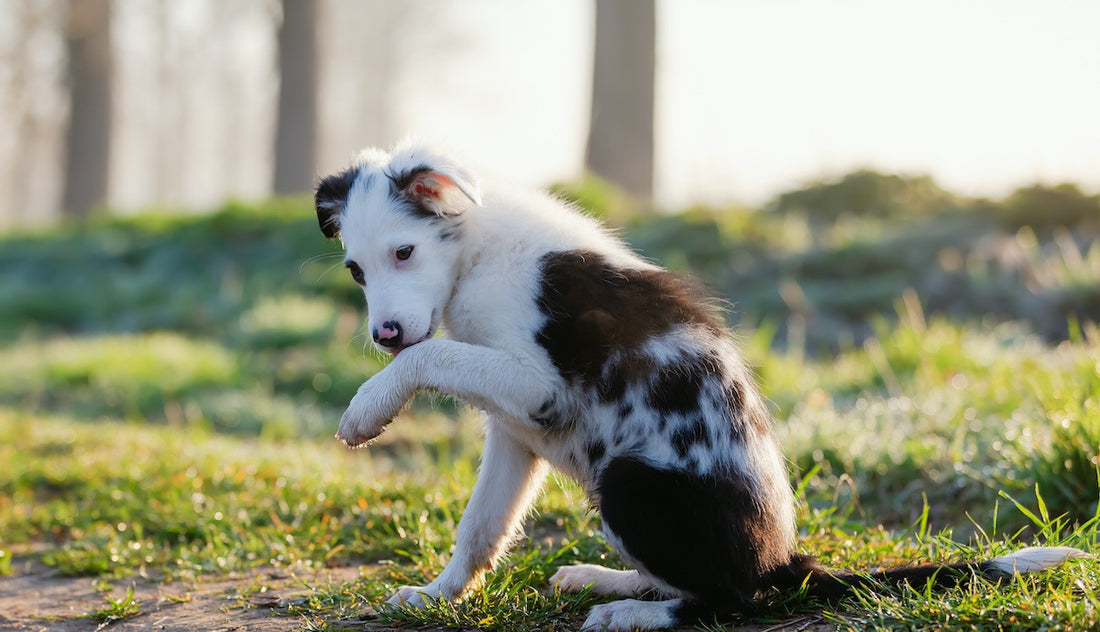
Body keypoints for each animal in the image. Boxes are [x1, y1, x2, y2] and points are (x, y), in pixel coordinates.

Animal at [314, 142, 1086, 632]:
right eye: (355, 269)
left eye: (405, 252)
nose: (385, 333)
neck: (474, 253)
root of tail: (785, 563)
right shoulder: (513, 429)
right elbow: (480, 527)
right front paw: (438, 596)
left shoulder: (538, 388)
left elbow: (432, 355)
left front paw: (366, 409)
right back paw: (609, 579)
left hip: (629, 483)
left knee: (731, 601)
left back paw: (631, 611)